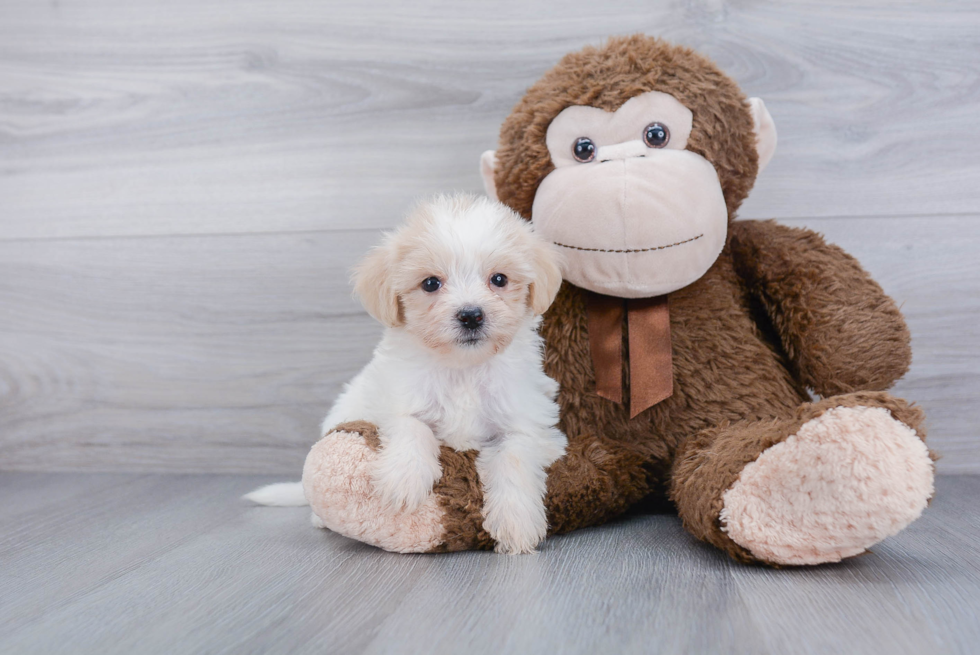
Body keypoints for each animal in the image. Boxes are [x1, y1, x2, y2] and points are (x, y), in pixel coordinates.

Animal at [247, 193, 568, 552]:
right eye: (430, 283)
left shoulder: (526, 422)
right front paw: (405, 481)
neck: (462, 369)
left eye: (499, 279)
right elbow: (412, 425)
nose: (471, 315)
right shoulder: (396, 397)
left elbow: (514, 458)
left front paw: (517, 523)